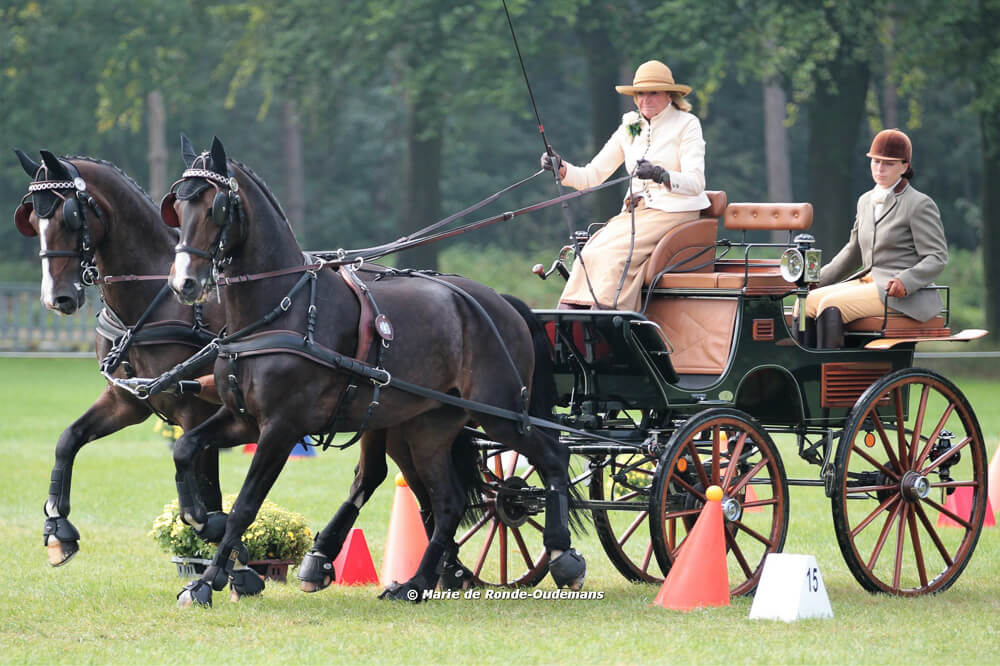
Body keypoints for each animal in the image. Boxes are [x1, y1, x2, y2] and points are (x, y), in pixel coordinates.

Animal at [10, 149, 229, 564]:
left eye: (70, 216)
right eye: (31, 219)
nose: (56, 298)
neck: (152, 302)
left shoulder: (197, 411)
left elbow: (208, 492)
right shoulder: (127, 400)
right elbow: (68, 439)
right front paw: (57, 529)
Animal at [163, 137, 584, 604]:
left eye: (215, 207)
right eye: (176, 208)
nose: (183, 284)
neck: (280, 309)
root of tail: (500, 302)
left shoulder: (281, 428)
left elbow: (245, 506)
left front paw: (206, 580)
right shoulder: (243, 420)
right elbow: (186, 448)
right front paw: (200, 519)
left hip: (500, 414)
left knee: (553, 456)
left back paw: (562, 555)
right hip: (429, 426)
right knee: (449, 501)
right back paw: (417, 582)